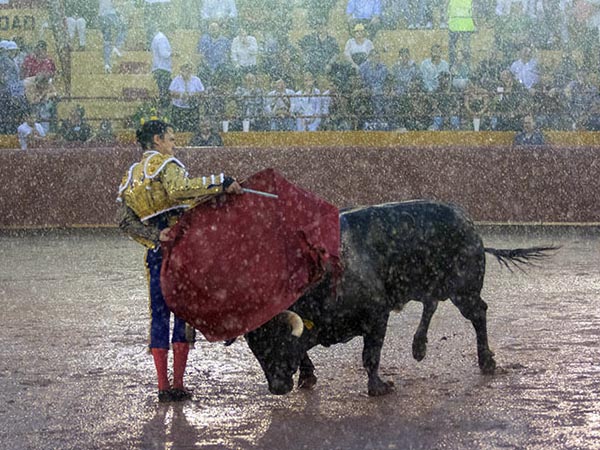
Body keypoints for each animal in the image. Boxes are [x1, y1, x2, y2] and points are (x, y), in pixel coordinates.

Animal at [244, 200, 552, 394]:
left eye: (277, 342)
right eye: (257, 349)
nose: (277, 388)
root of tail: (469, 223)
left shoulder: (376, 315)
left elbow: (371, 354)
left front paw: (378, 387)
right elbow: (304, 350)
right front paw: (308, 377)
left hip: (464, 289)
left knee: (478, 313)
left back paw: (486, 361)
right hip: (428, 284)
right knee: (431, 303)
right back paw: (419, 346)